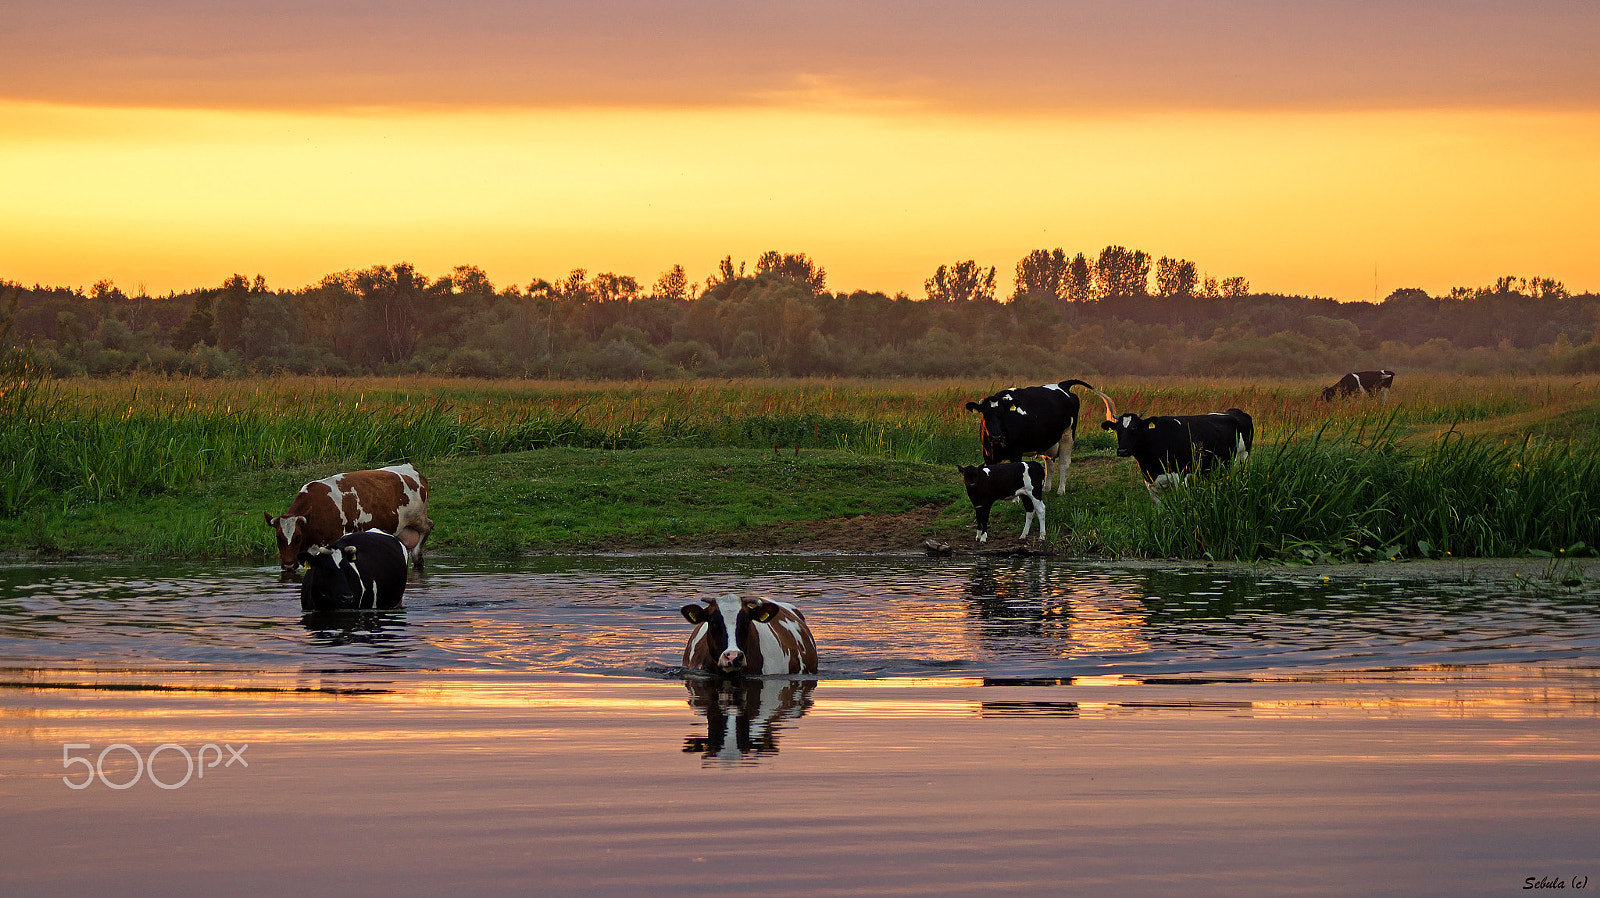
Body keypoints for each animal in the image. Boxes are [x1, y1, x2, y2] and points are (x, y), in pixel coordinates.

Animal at [265, 463, 433, 573]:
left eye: (298, 537)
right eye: (278, 537)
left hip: (417, 517)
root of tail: (412, 469)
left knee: (429, 526)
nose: (288, 564)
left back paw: (418, 558)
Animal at [1100, 408, 1254, 504]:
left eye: (1134, 428)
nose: (1122, 451)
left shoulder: (1180, 478)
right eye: (1118, 430)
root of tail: (1235, 411)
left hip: (1243, 459)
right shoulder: (1149, 482)